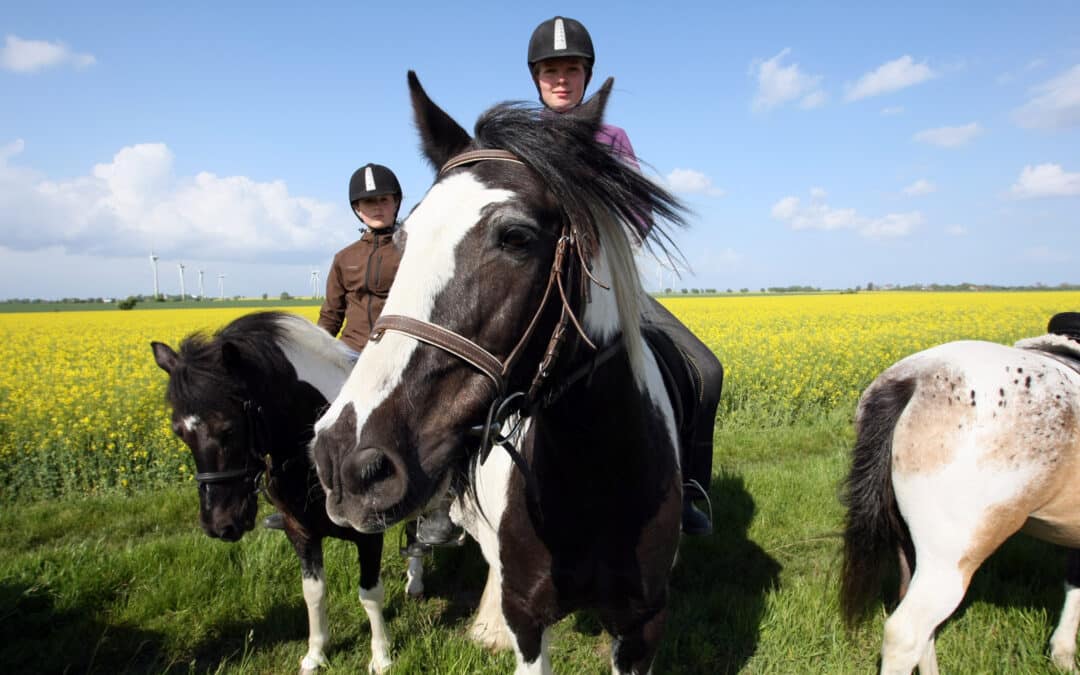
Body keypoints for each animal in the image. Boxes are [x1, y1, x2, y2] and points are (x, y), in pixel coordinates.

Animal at [153, 311, 429, 673]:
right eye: (179, 432)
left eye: (228, 428)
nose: (219, 525)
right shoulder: (299, 531)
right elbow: (313, 591)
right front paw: (316, 653)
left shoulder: (368, 534)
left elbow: (370, 593)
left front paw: (381, 657)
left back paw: (416, 579)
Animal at [308, 71, 686, 669]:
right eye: (403, 239)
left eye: (516, 237)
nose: (345, 460)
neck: (591, 473)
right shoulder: (530, 621)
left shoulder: (642, 627)